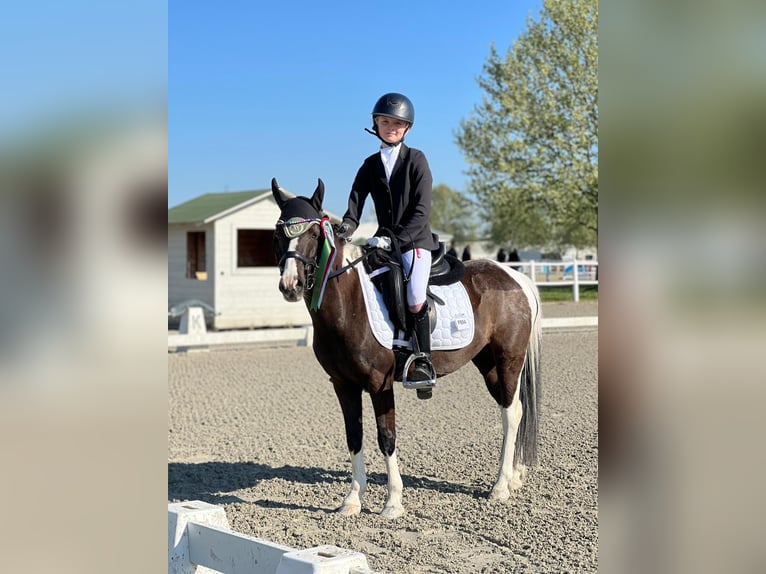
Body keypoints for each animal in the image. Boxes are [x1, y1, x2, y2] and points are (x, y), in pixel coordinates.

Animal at [271, 178, 542, 519]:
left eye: (314, 234)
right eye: (278, 234)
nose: (290, 285)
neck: (348, 303)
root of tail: (515, 276)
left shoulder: (379, 383)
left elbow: (386, 437)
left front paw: (393, 502)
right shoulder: (343, 385)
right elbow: (354, 437)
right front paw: (352, 499)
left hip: (508, 360)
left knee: (511, 413)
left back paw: (501, 486)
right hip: (489, 363)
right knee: (514, 409)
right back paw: (515, 476)